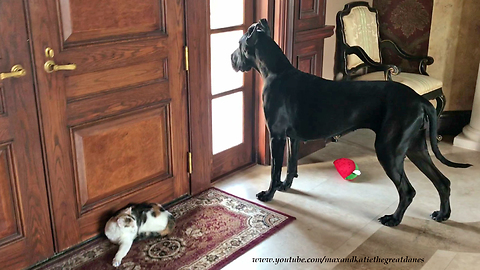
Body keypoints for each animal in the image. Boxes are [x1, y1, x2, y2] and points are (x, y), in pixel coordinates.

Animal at [231, 19, 470, 227]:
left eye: (239, 44)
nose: (231, 58)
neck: (276, 71)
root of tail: (420, 100)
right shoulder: (293, 137)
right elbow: (290, 166)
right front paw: (286, 186)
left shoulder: (277, 136)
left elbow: (274, 170)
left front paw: (268, 194)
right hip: (415, 147)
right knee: (443, 181)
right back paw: (443, 214)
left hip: (389, 149)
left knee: (408, 190)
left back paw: (394, 219)